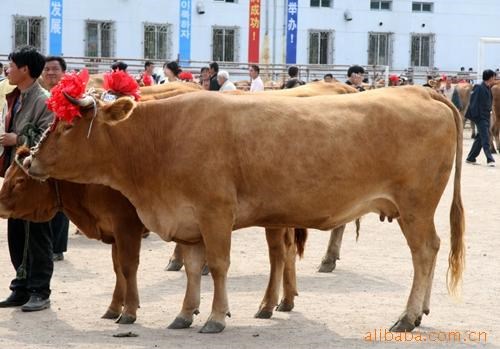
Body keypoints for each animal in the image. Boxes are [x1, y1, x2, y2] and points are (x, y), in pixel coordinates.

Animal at [1, 146, 306, 324]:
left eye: (19, 181)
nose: (0, 205)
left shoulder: (126, 226)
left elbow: (128, 267)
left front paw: (129, 311)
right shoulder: (114, 232)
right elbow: (117, 269)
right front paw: (114, 306)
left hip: (272, 220)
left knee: (277, 256)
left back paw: (267, 304)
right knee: (289, 251)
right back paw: (286, 300)